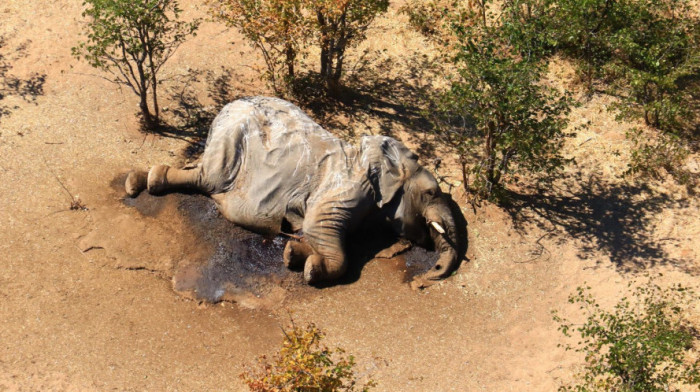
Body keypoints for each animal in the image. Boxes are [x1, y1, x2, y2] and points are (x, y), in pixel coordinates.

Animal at [124, 97, 464, 288]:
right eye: (431, 192)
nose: (424, 280)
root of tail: (227, 106)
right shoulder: (347, 189)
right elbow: (319, 228)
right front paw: (313, 270)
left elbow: (314, 233)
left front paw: (293, 254)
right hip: (230, 139)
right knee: (208, 179)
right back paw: (143, 182)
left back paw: (139, 181)